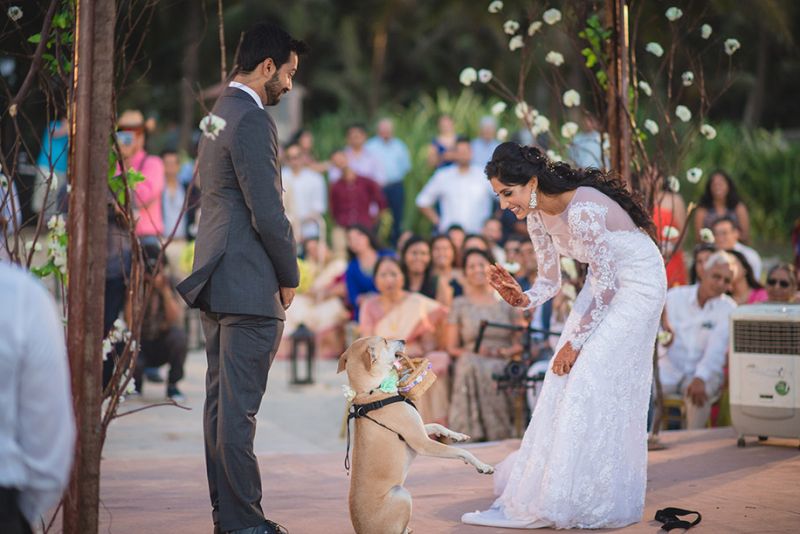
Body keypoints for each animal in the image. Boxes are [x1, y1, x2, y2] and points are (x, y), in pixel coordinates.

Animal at [338, 340, 494, 534]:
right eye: (385, 341)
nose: (404, 340)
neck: (372, 392)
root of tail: (361, 531)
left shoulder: (418, 430)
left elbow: (437, 425)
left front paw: (457, 435)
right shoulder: (423, 443)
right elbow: (462, 452)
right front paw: (483, 466)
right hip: (401, 494)